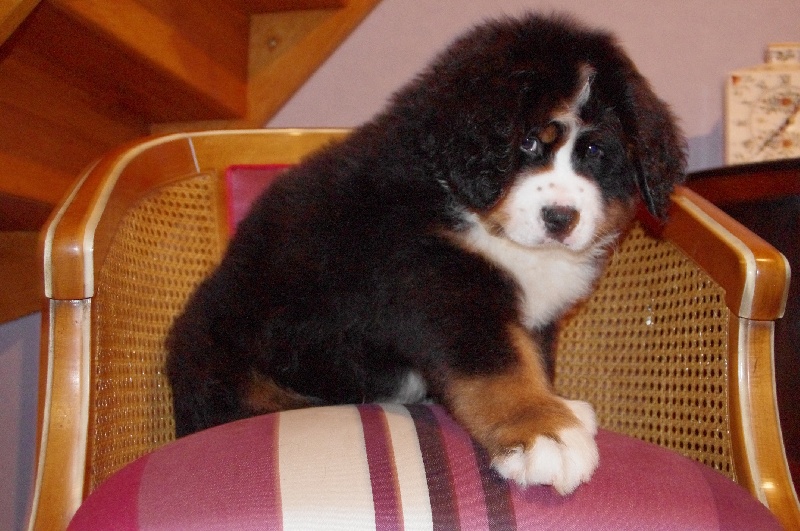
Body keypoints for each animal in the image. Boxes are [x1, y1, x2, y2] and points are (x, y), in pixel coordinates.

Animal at [166, 13, 685, 495]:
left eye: (595, 152)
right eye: (528, 142)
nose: (561, 217)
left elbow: (532, 352)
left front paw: (557, 406)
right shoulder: (437, 278)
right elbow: (500, 364)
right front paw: (543, 431)